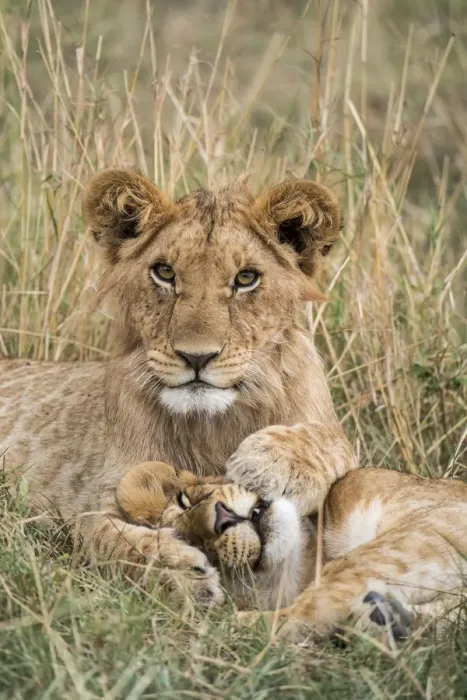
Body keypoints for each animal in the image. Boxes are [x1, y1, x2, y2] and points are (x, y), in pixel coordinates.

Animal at [0, 169, 357, 601]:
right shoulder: (99, 501)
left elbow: (333, 441)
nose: (196, 357)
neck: (211, 426)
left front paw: (268, 460)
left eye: (246, 278)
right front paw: (179, 570)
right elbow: (108, 539)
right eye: (165, 273)